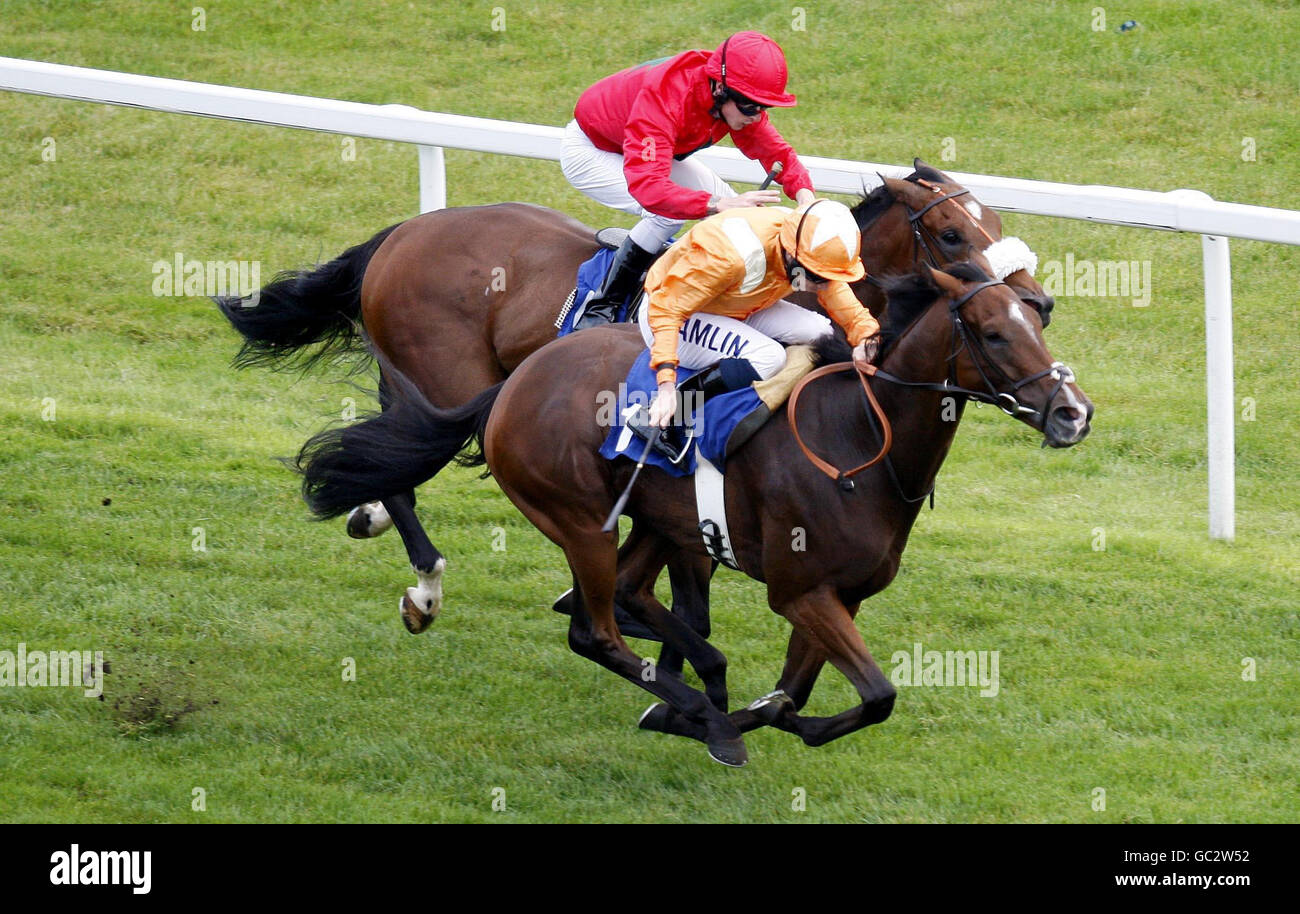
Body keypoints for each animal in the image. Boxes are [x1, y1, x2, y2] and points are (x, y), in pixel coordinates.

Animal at [220, 159, 1055, 637]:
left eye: (994, 220)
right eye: (952, 234)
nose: (1037, 303)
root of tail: (400, 235)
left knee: (393, 450)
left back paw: (368, 515)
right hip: (444, 376)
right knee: (409, 463)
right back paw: (423, 587)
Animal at [292, 258, 1086, 764]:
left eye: (1038, 321)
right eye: (992, 333)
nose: (1073, 413)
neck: (862, 440)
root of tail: (513, 383)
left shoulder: (842, 596)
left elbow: (802, 695)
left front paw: (746, 712)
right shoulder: (800, 591)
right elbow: (877, 694)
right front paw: (710, 718)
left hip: (658, 518)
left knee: (631, 600)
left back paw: (700, 689)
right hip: (579, 519)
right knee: (595, 629)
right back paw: (701, 710)